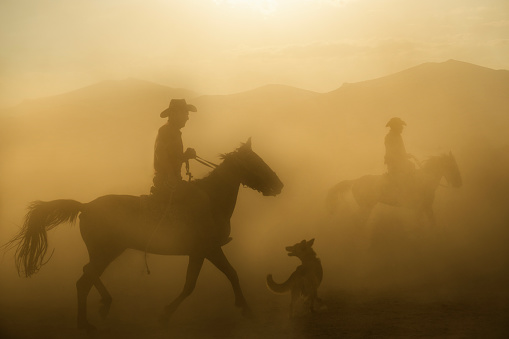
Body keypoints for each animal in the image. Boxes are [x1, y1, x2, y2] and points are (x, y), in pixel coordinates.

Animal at [6, 139, 282, 334]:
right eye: (255, 162)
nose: (279, 185)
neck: (212, 200)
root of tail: (86, 206)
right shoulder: (206, 250)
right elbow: (197, 283)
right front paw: (165, 314)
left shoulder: (206, 251)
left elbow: (225, 275)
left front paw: (246, 309)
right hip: (105, 252)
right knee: (85, 278)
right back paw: (91, 317)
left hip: (107, 252)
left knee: (86, 276)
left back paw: (97, 311)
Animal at [328, 153, 462, 227]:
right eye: (452, 166)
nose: (459, 183)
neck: (425, 179)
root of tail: (355, 181)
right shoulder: (421, 208)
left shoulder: (426, 207)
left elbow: (431, 223)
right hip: (366, 207)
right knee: (357, 221)